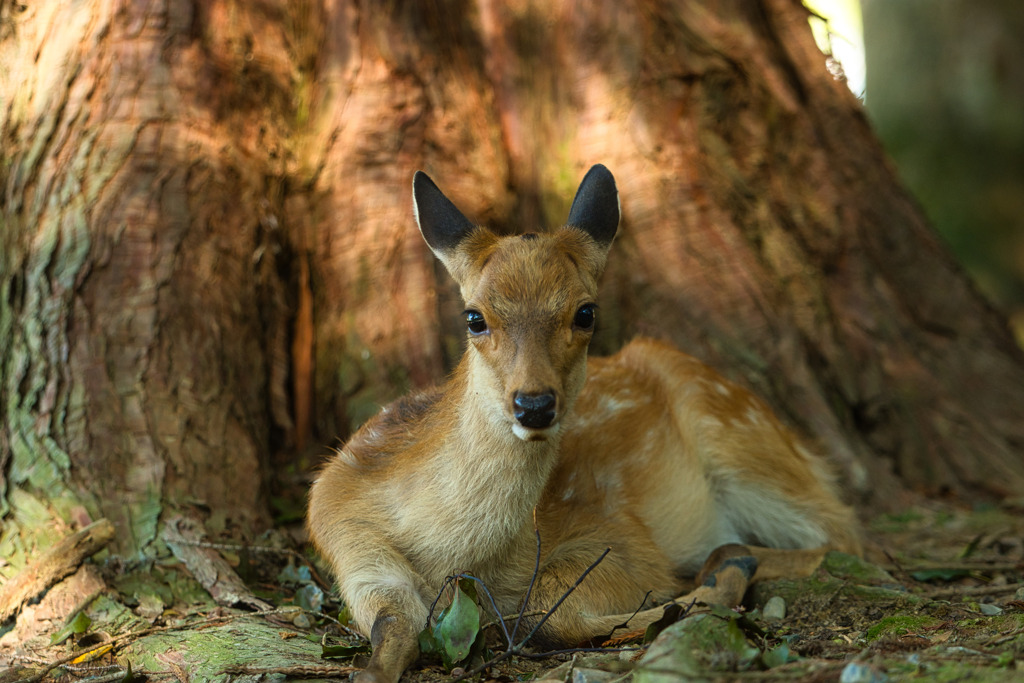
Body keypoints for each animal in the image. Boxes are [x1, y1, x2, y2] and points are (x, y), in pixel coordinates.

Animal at [307, 165, 860, 683]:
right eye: (474, 317)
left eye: (586, 312)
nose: (533, 404)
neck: (452, 560)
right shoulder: (351, 548)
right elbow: (392, 630)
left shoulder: (618, 538)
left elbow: (544, 610)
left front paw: (709, 581)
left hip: (746, 447)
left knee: (841, 540)